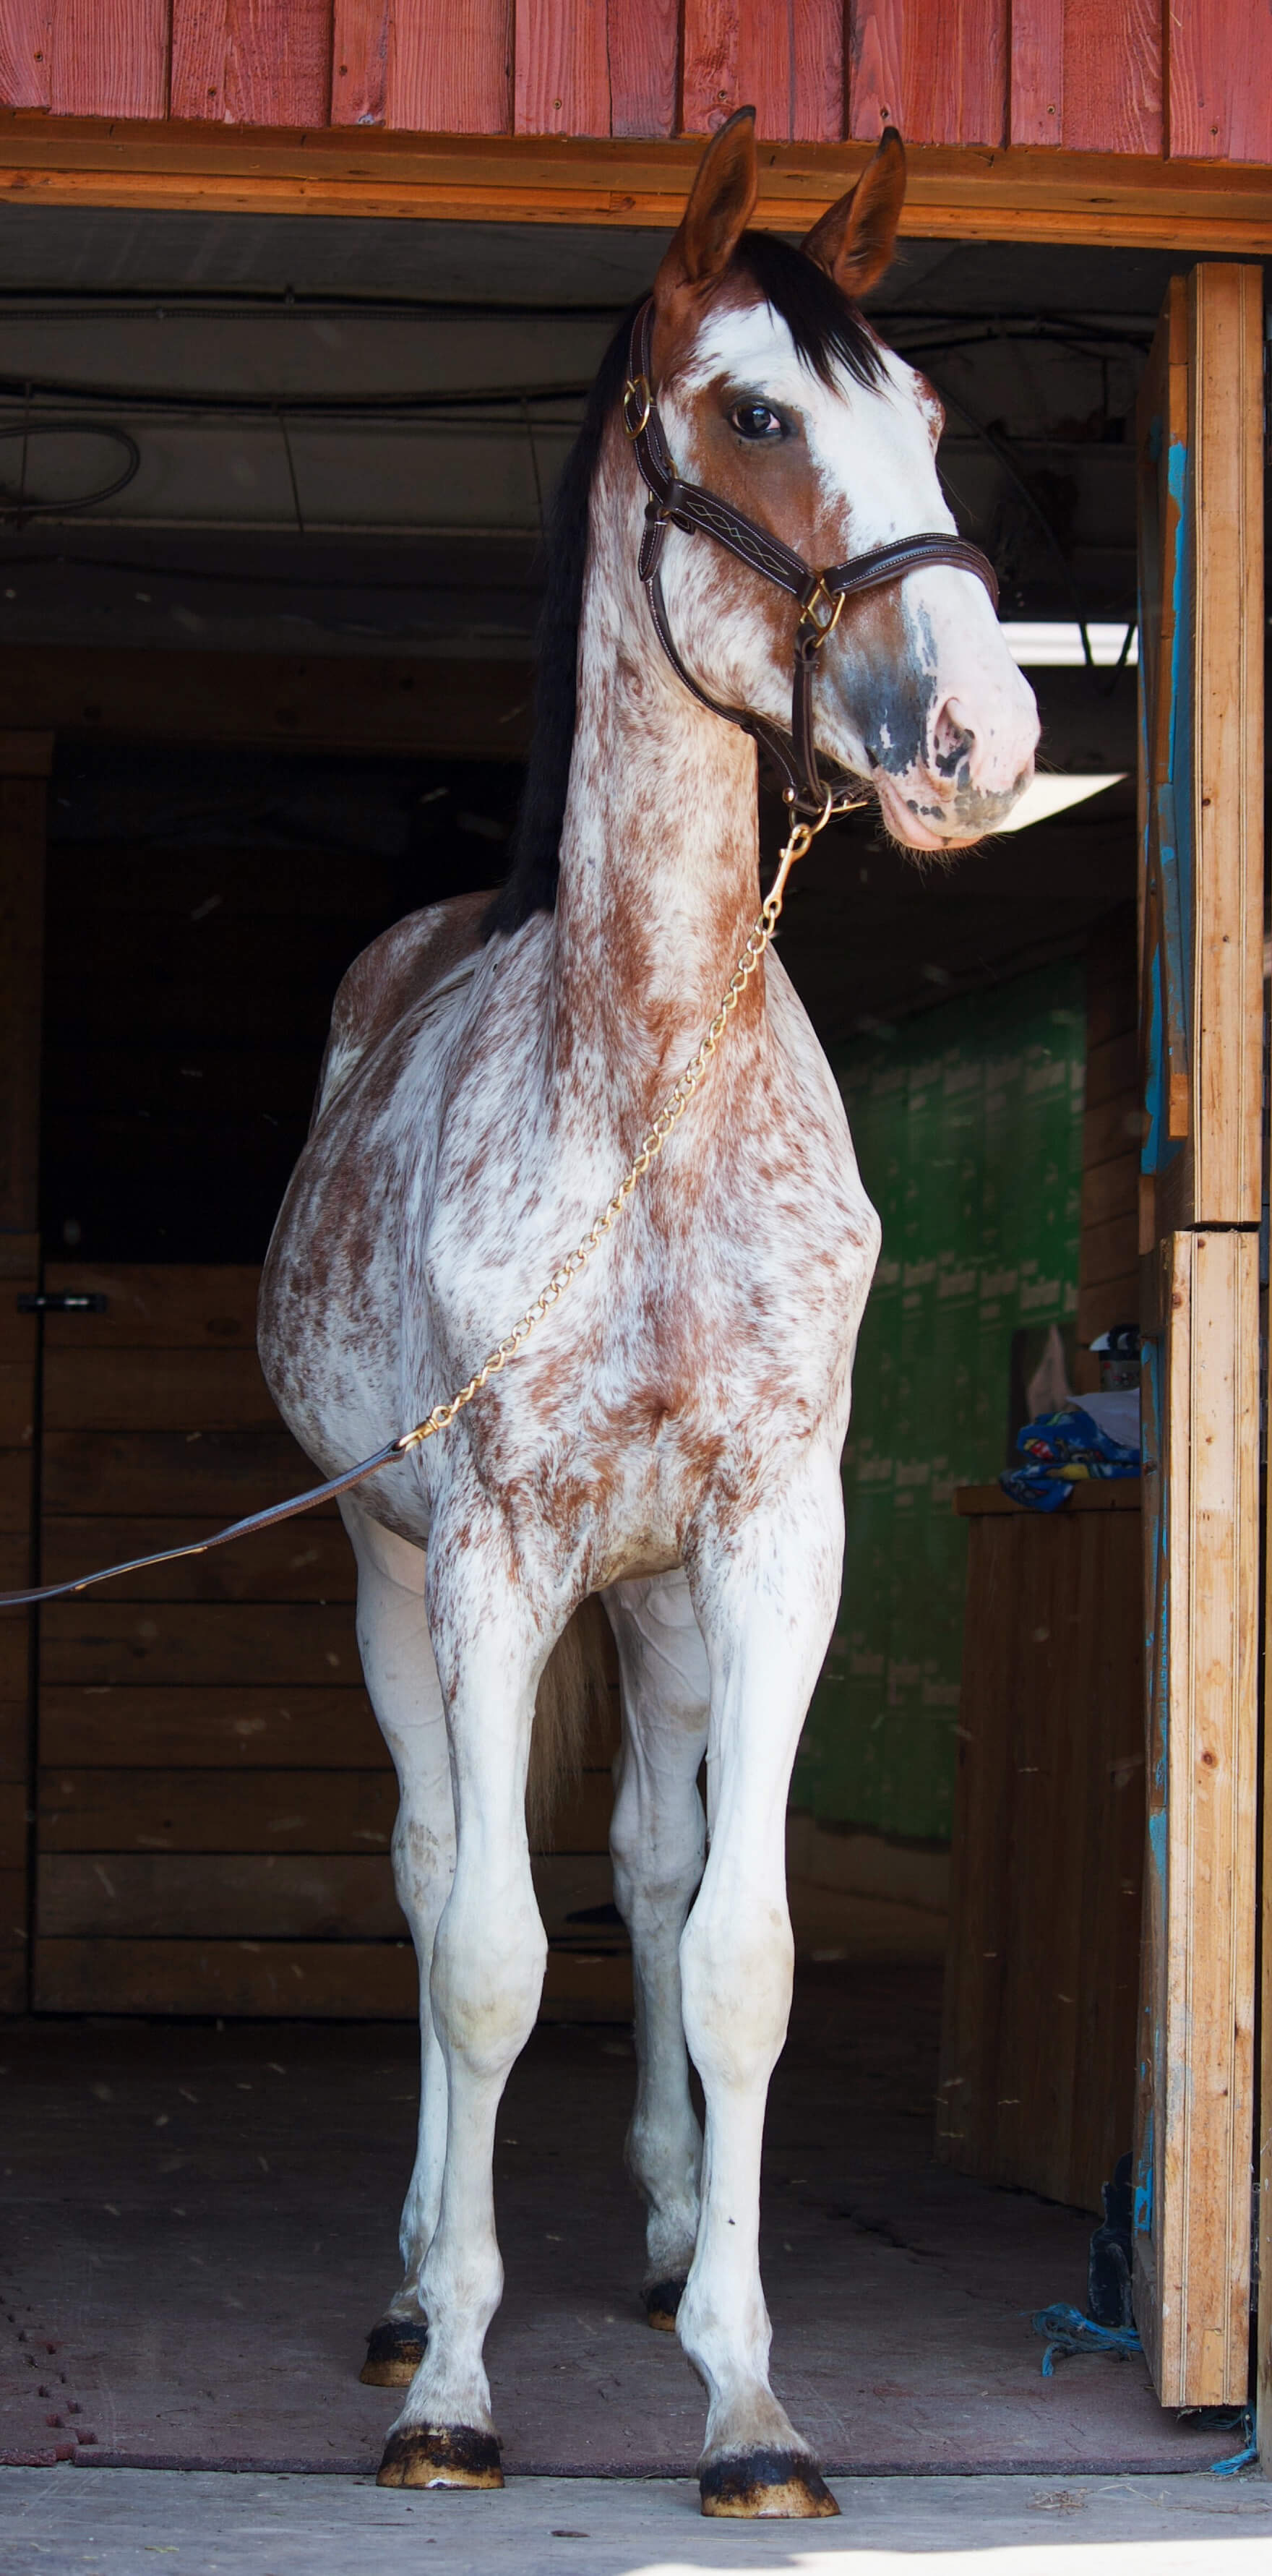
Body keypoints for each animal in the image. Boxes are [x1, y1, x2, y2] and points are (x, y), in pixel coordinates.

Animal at [258, 110, 1038, 2519]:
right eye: (757, 414)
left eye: (930, 415)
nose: (984, 732)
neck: (651, 1083)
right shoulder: (494, 1555)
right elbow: (489, 1957)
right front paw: (450, 2386)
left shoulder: (775, 1540)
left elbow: (735, 1951)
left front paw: (749, 2398)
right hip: (398, 1574)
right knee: (439, 1878)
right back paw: (412, 2282)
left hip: (663, 1602)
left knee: (654, 1861)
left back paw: (675, 2228)